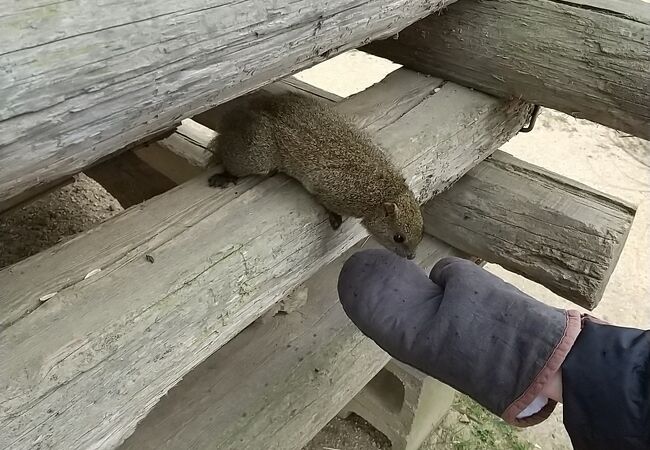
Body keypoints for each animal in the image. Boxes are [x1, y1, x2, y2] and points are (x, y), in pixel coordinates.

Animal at [205, 89, 422, 258]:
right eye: (398, 237)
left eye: (420, 233)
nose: (411, 256)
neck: (387, 191)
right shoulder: (333, 190)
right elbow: (323, 200)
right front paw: (334, 218)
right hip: (257, 155)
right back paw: (224, 175)